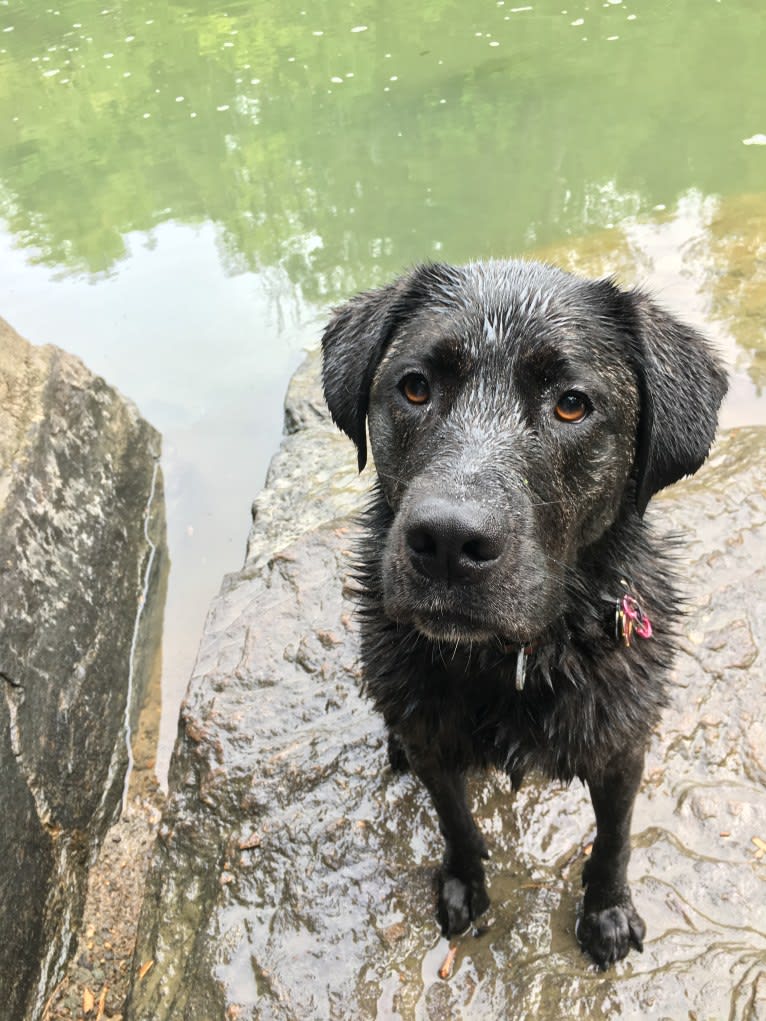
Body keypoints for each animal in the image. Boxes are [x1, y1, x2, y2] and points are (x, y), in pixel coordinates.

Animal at [320, 259, 727, 967]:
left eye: (572, 404)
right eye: (415, 388)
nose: (448, 542)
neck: (510, 663)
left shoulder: (623, 744)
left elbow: (615, 837)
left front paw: (607, 911)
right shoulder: (434, 740)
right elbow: (455, 821)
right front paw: (464, 885)